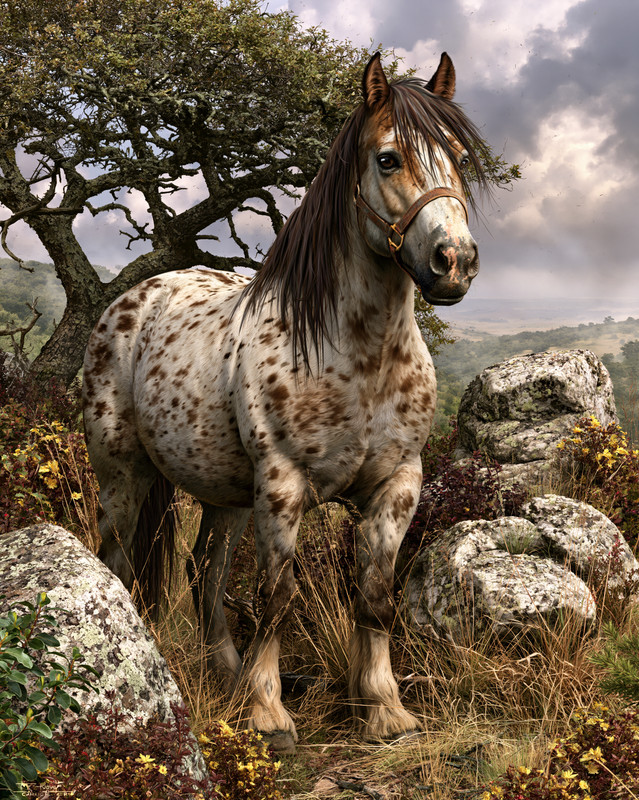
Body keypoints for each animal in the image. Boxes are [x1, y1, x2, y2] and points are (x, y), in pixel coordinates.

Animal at [82, 52, 487, 753]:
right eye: (387, 159)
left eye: (458, 156)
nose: (454, 261)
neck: (358, 355)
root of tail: (134, 300)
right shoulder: (283, 487)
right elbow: (277, 597)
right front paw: (269, 715)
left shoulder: (397, 486)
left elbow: (374, 594)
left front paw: (382, 707)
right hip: (126, 479)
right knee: (119, 565)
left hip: (225, 495)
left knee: (204, 572)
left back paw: (229, 675)